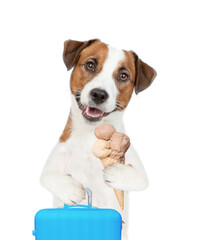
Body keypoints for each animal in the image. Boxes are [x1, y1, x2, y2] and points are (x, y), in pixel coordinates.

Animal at [40, 38, 156, 239]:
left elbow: (141, 179)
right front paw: (72, 190)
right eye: (90, 65)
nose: (99, 94)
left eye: (123, 76)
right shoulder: (52, 162)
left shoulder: (138, 169)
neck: (90, 134)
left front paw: (114, 172)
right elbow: (47, 176)